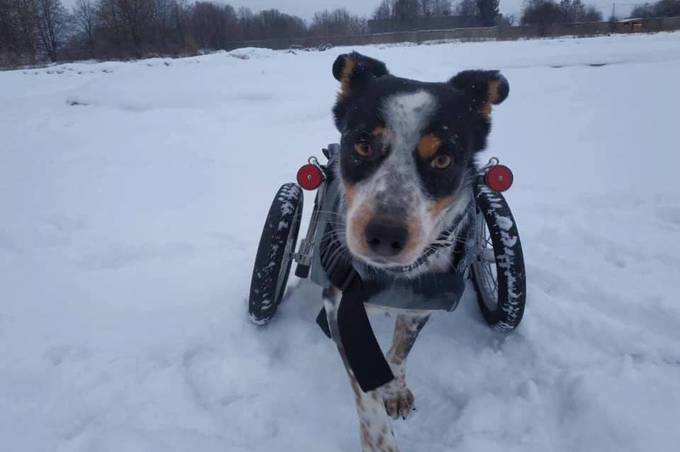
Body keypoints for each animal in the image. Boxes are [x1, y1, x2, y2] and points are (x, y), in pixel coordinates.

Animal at [322, 51, 508, 450]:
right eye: (362, 145)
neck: (391, 279)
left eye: (443, 159)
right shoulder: (339, 304)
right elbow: (365, 390)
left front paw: (395, 391)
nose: (384, 235)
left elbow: (398, 352)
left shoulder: (422, 304)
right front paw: (379, 440)